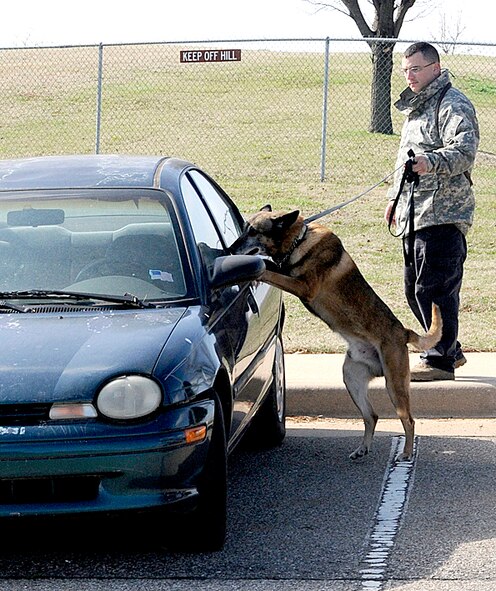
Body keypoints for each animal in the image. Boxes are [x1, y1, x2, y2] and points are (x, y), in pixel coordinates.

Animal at [230, 207, 442, 462]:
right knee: (371, 416)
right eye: (244, 228)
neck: (298, 240)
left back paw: (407, 452)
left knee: (408, 420)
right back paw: (363, 448)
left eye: (253, 231)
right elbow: (272, 267)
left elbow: (271, 273)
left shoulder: (303, 287)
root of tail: (404, 332)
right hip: (351, 378)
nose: (230, 250)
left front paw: (256, 273)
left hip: (395, 385)